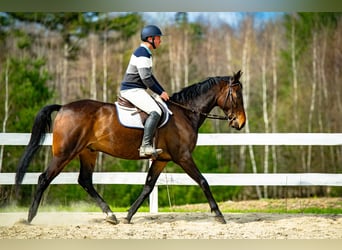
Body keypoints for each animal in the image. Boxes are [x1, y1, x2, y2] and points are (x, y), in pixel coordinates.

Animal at [15, 70, 246, 225]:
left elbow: (148, 187)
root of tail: (63, 107)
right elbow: (203, 181)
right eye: (237, 95)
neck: (185, 113)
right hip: (65, 153)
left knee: (85, 181)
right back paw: (29, 218)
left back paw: (111, 215)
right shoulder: (183, 156)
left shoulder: (162, 160)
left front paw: (128, 215)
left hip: (88, 152)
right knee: (44, 178)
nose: (240, 123)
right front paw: (219, 215)